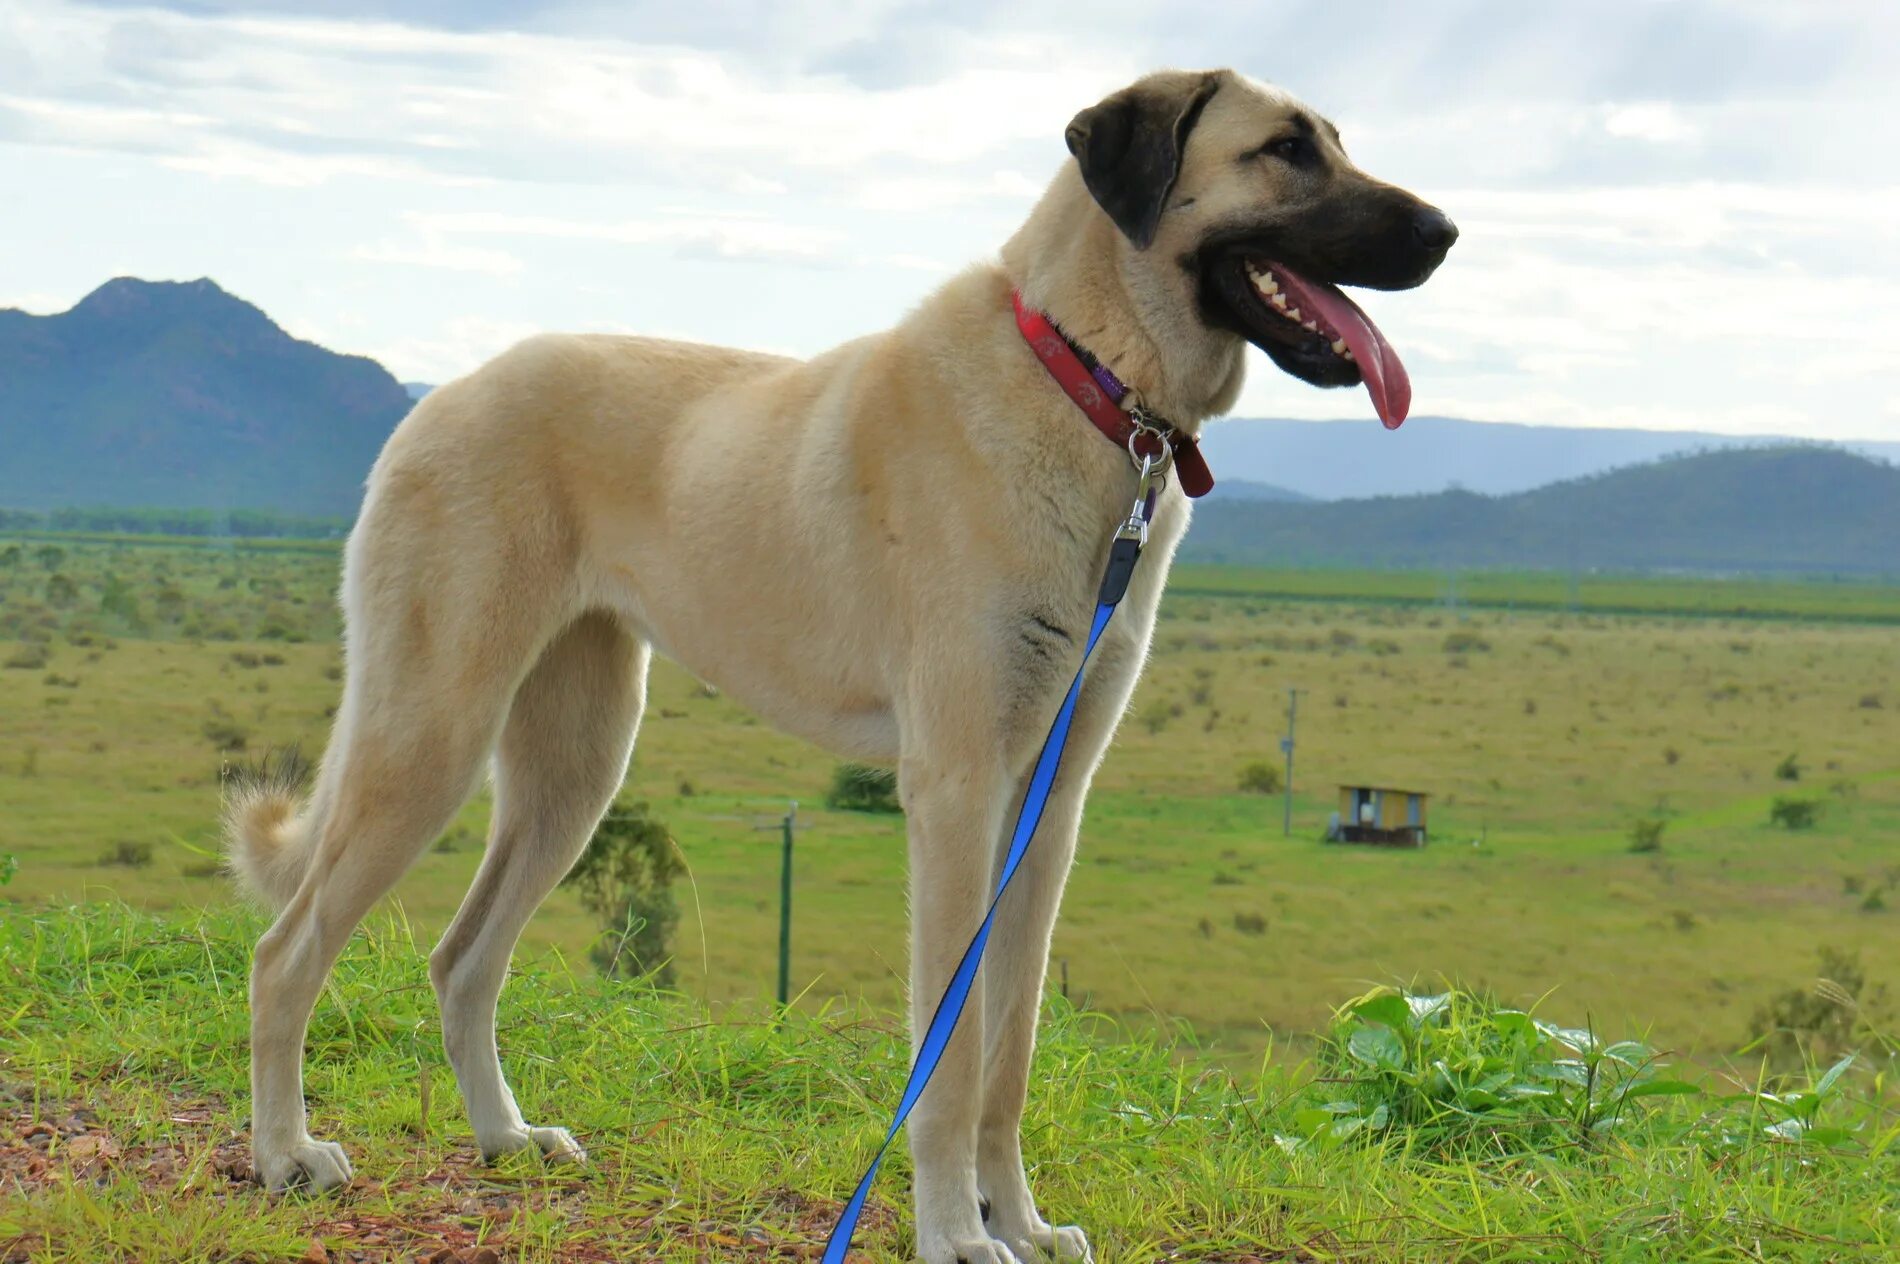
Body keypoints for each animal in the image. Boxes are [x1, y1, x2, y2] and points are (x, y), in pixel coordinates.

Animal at [229, 68, 1451, 1262]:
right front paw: (956, 1232)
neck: (1085, 371)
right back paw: (288, 1154)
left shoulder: (1046, 808)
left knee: (463, 958)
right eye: (1284, 149)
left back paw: (504, 1137)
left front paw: (1020, 1221)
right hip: (431, 731)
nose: (1445, 233)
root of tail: (439, 396)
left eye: (1334, 139)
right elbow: (950, 1059)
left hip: (573, 770)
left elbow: (1009, 1052)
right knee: (287, 953)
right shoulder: (956, 793)